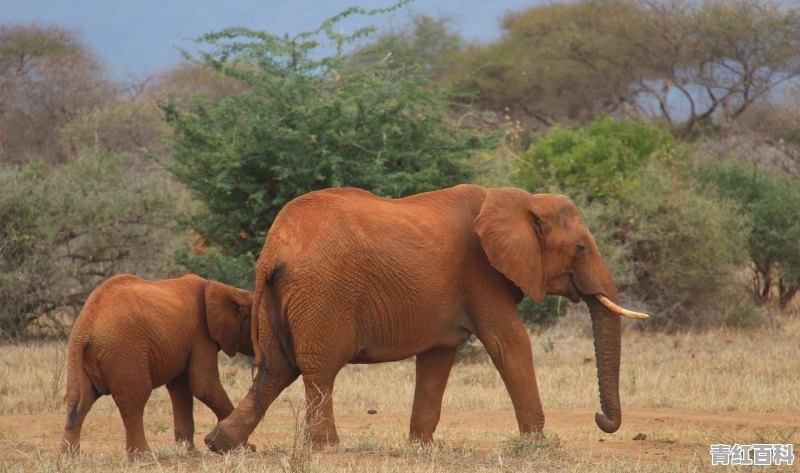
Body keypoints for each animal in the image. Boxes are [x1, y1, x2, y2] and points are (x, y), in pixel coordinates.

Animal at [62, 274, 253, 456]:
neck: (229, 290)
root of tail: (86, 325)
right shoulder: (201, 335)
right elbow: (204, 385)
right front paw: (245, 448)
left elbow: (181, 389)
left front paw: (190, 452)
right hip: (124, 351)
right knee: (134, 399)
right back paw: (143, 456)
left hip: (79, 356)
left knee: (78, 400)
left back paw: (70, 457)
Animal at [203, 184, 648, 450]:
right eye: (580, 248)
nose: (601, 419)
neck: (520, 199)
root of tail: (272, 250)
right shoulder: (481, 273)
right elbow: (509, 343)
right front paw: (538, 444)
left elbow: (438, 358)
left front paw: (421, 447)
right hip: (323, 294)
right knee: (317, 370)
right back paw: (325, 446)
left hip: (279, 300)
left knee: (275, 369)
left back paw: (221, 443)